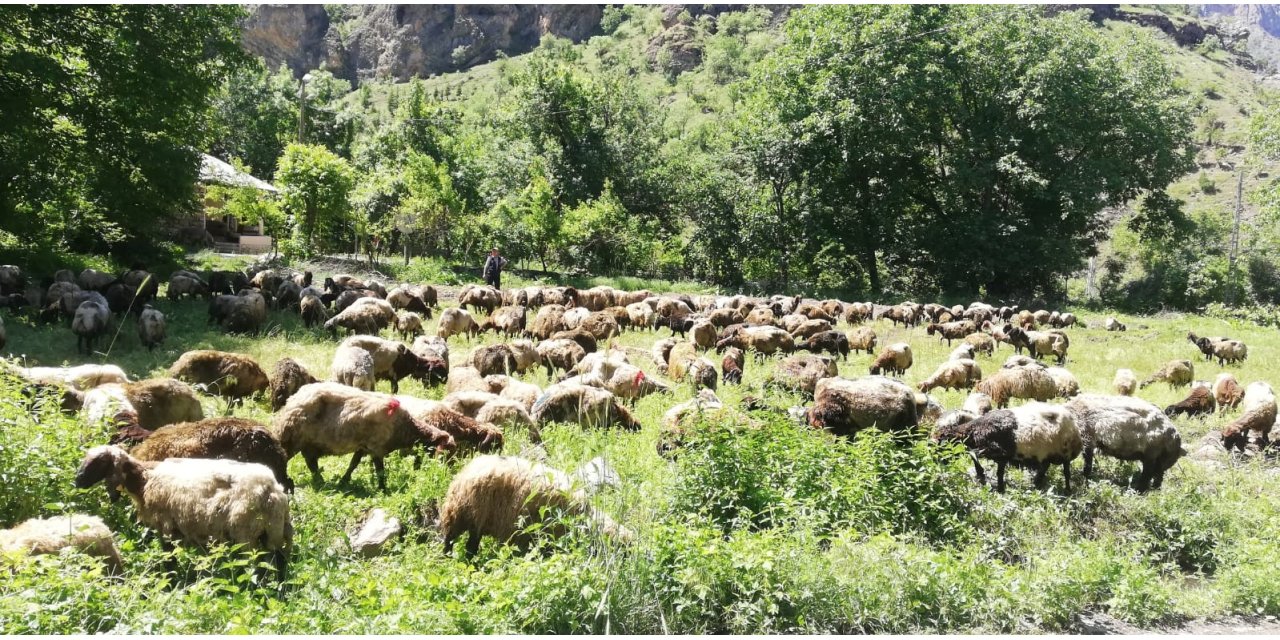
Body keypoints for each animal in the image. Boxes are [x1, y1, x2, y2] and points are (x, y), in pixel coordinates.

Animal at [76, 445, 293, 576]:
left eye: (100, 461)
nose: (77, 481)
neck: (144, 480)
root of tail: (270, 490)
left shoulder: (166, 528)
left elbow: (169, 557)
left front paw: (170, 580)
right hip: (274, 532)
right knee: (279, 562)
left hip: (246, 536)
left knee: (254, 568)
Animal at [270, 384, 455, 488]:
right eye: (446, 452)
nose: (447, 474)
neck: (406, 428)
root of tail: (292, 399)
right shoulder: (376, 447)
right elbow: (380, 471)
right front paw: (382, 489)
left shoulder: (363, 447)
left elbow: (354, 464)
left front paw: (344, 481)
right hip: (292, 439)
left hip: (309, 444)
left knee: (311, 463)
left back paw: (321, 481)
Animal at [437, 458, 632, 558]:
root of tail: (466, 470)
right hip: (458, 515)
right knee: (450, 540)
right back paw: (447, 558)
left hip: (475, 522)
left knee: (471, 545)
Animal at [931, 401, 1080, 491]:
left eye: (942, 444)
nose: (937, 462)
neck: (976, 430)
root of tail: (1073, 423)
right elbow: (974, 454)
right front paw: (981, 474)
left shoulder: (1001, 453)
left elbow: (997, 471)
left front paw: (1000, 488)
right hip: (1048, 454)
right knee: (1045, 466)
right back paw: (1037, 482)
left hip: (1066, 453)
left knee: (1066, 472)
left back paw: (1067, 490)